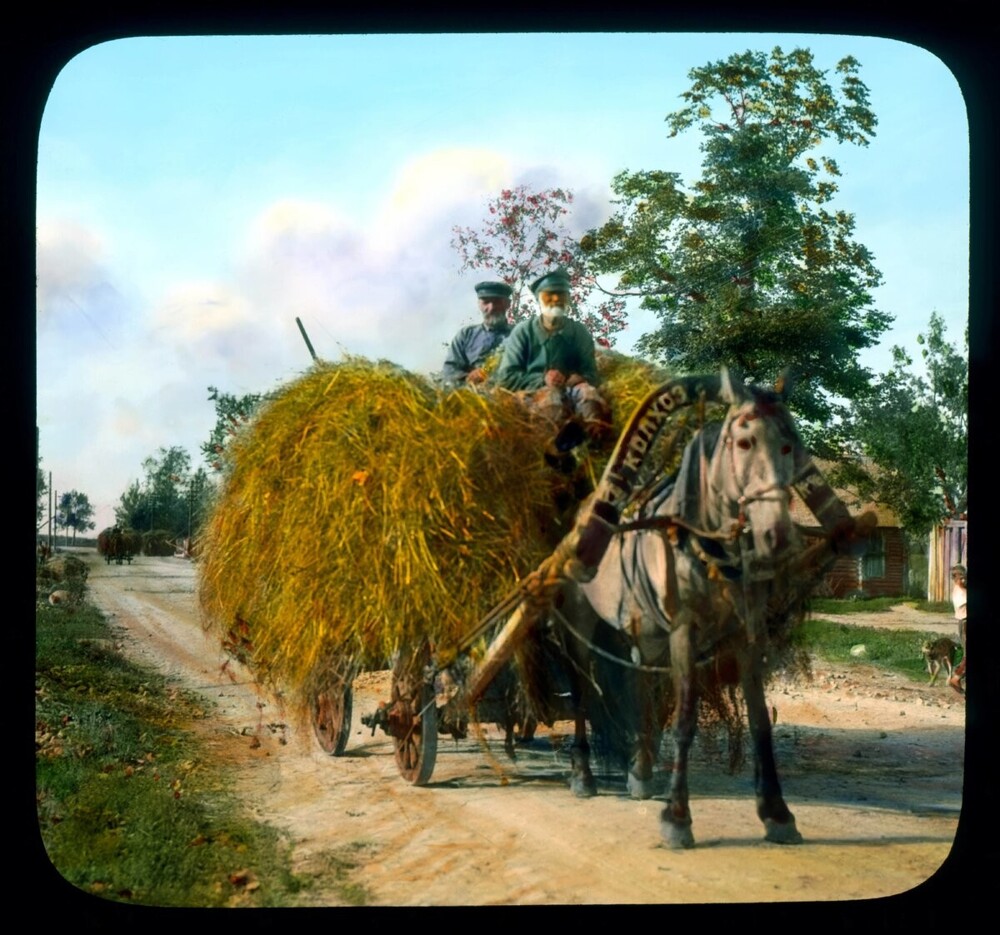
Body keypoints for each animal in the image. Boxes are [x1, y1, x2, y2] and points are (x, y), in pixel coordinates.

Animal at [548, 370, 868, 852]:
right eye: (744, 443)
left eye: (790, 445)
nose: (777, 536)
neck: (707, 542)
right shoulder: (684, 630)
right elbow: (684, 719)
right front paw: (677, 818)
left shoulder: (745, 634)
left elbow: (760, 722)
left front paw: (776, 813)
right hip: (582, 627)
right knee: (583, 691)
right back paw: (583, 774)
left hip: (641, 628)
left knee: (640, 686)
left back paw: (640, 771)